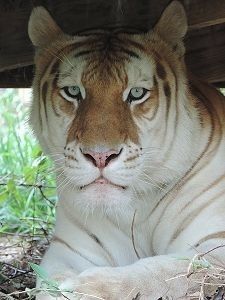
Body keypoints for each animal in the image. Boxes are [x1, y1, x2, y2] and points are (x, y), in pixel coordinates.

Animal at [27, 1, 225, 298]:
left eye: (136, 93)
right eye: (73, 91)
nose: (100, 156)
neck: (136, 209)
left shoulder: (213, 245)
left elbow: (158, 273)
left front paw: (83, 287)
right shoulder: (66, 251)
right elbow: (49, 283)